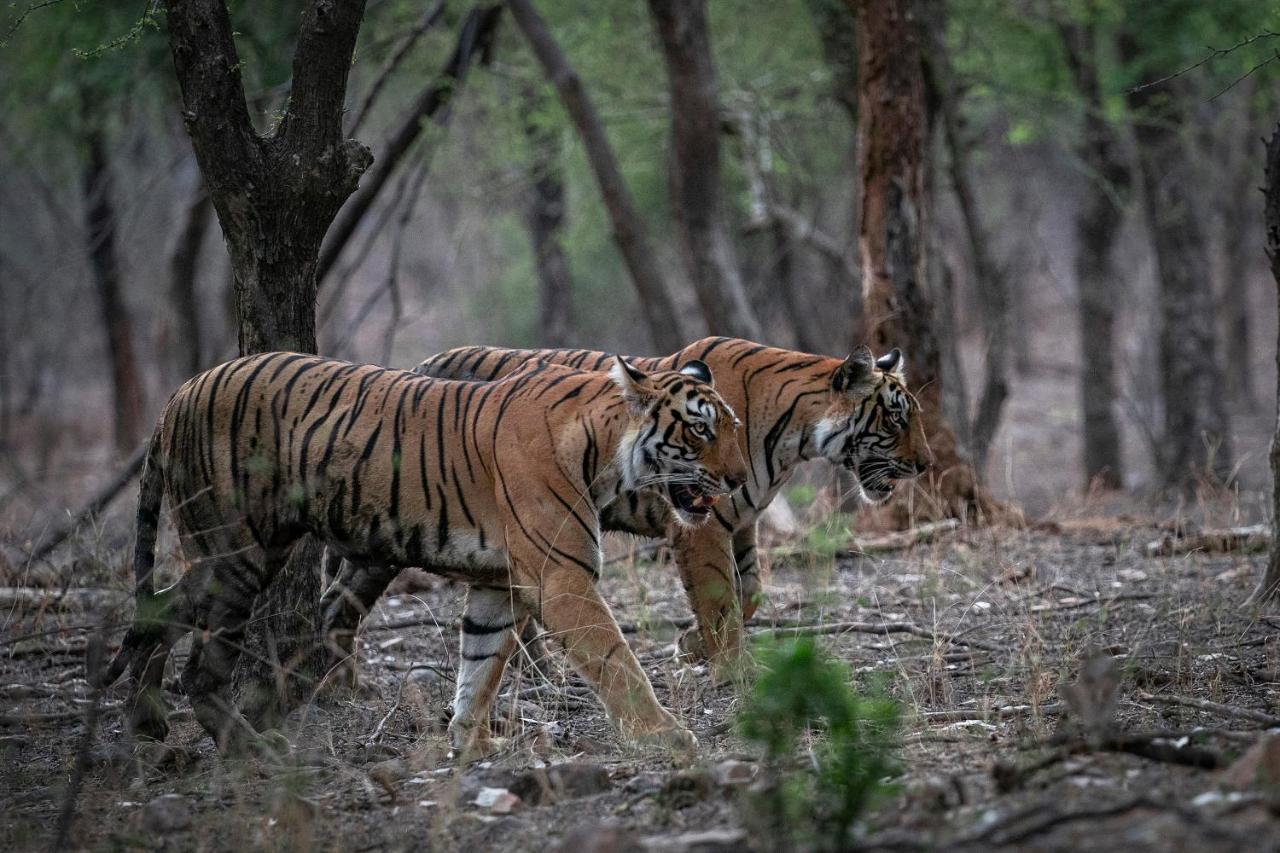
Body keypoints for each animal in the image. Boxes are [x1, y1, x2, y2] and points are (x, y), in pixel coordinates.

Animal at [92, 348, 742, 753]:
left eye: (734, 428)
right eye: (700, 430)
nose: (737, 480)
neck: (604, 450)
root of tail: (177, 395)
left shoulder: (497, 584)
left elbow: (479, 663)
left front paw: (471, 741)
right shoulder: (563, 577)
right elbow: (617, 662)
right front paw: (664, 735)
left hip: (241, 550)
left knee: (159, 608)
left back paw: (147, 723)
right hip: (235, 551)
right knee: (201, 664)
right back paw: (246, 746)